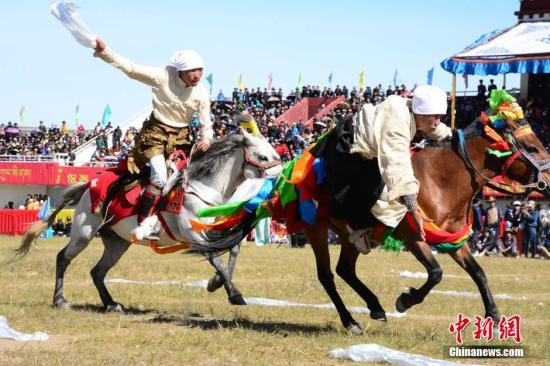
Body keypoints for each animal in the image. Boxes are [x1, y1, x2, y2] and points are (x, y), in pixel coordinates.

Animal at [16, 132, 280, 312]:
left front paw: (215, 283)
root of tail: (88, 186)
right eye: (263, 156)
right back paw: (60, 300)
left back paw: (111, 303)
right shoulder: (193, 234)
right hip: (83, 233)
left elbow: (232, 250)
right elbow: (216, 258)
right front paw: (234, 294)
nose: (278, 181)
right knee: (63, 258)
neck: (202, 188)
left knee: (97, 271)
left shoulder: (216, 231)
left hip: (117, 242)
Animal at [196, 117, 550, 334]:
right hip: (317, 229)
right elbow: (436, 273)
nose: (546, 179)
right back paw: (352, 320)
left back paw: (374, 307)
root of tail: (285, 175)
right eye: (532, 147)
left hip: (350, 233)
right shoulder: (413, 235)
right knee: (327, 276)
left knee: (345, 270)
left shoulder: (454, 239)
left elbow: (478, 272)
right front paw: (406, 300)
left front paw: (494, 315)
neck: (441, 179)